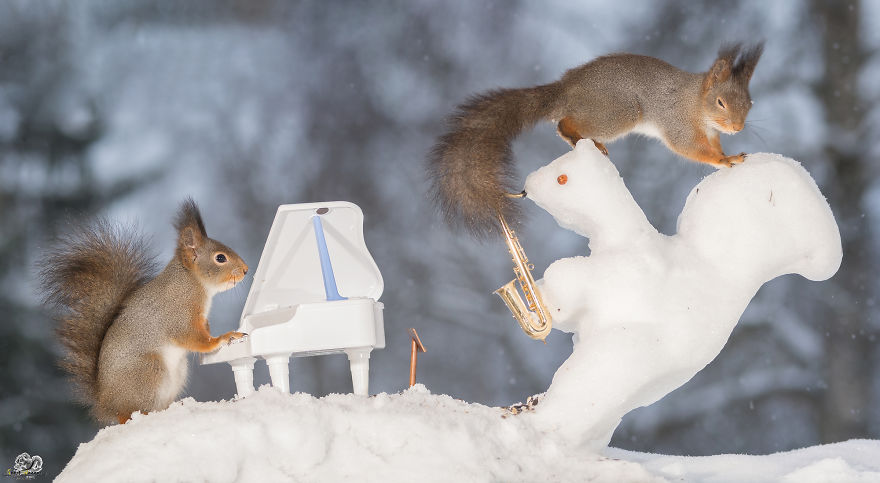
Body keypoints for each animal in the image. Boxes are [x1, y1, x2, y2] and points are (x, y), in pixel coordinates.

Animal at [40, 198, 249, 425]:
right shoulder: (178, 313)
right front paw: (223, 338)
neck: (192, 281)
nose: (246, 270)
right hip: (149, 371)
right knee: (130, 414)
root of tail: (106, 404)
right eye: (220, 258)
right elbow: (193, 338)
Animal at [428, 42, 763, 238]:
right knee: (563, 123)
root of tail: (564, 91)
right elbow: (689, 147)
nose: (737, 127)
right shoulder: (677, 123)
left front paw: (727, 154)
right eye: (720, 102)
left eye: (749, 103)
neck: (696, 104)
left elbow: (712, 145)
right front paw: (724, 160)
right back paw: (579, 137)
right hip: (618, 112)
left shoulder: (711, 133)